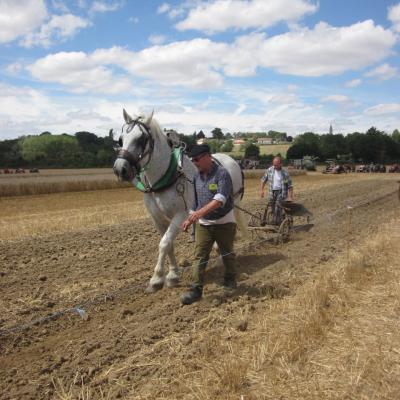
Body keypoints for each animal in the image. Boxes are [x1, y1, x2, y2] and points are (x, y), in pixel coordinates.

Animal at [112, 109, 247, 294]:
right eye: (120, 139)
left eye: (141, 139)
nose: (120, 169)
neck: (166, 177)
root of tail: (231, 159)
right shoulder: (157, 219)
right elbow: (168, 244)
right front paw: (172, 275)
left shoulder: (181, 215)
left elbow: (164, 243)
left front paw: (156, 279)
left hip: (233, 204)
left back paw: (228, 252)